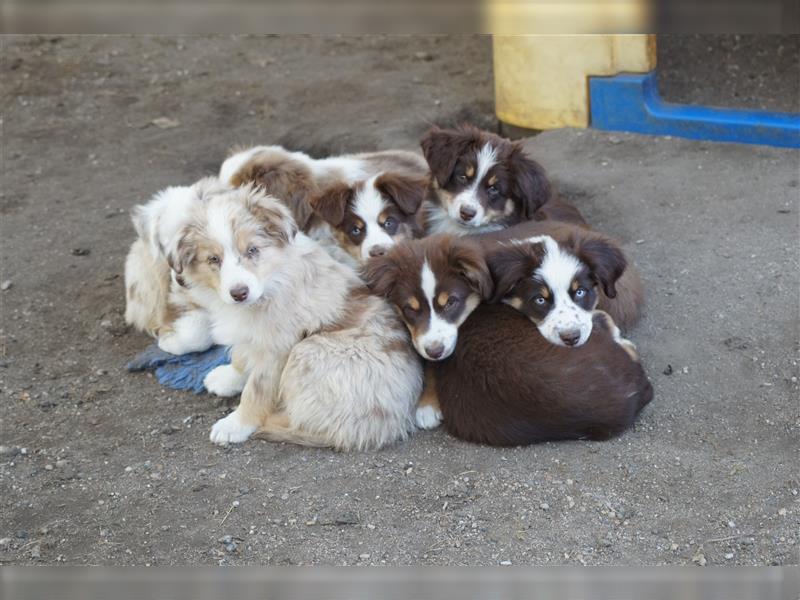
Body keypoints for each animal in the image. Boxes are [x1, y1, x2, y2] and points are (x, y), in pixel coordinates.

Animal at [166, 183, 422, 450]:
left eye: (253, 250)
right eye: (213, 259)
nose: (239, 293)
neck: (270, 284)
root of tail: (386, 427)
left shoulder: (277, 347)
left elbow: (256, 390)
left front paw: (236, 424)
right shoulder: (250, 334)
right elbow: (241, 355)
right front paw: (229, 376)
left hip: (307, 350)